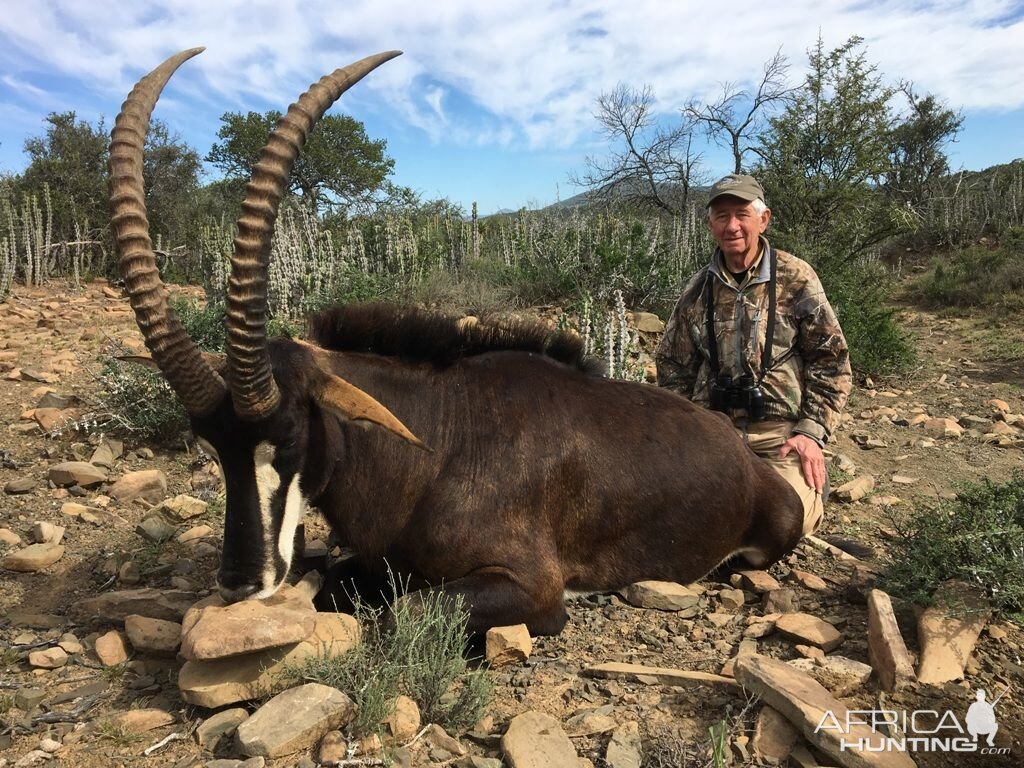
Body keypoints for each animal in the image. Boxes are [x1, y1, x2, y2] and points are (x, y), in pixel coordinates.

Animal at [108, 49, 802, 638]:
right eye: (211, 447)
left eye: (289, 439)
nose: (238, 585)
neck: (432, 445)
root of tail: (743, 454)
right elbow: (335, 579)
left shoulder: (533, 588)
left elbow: (405, 614)